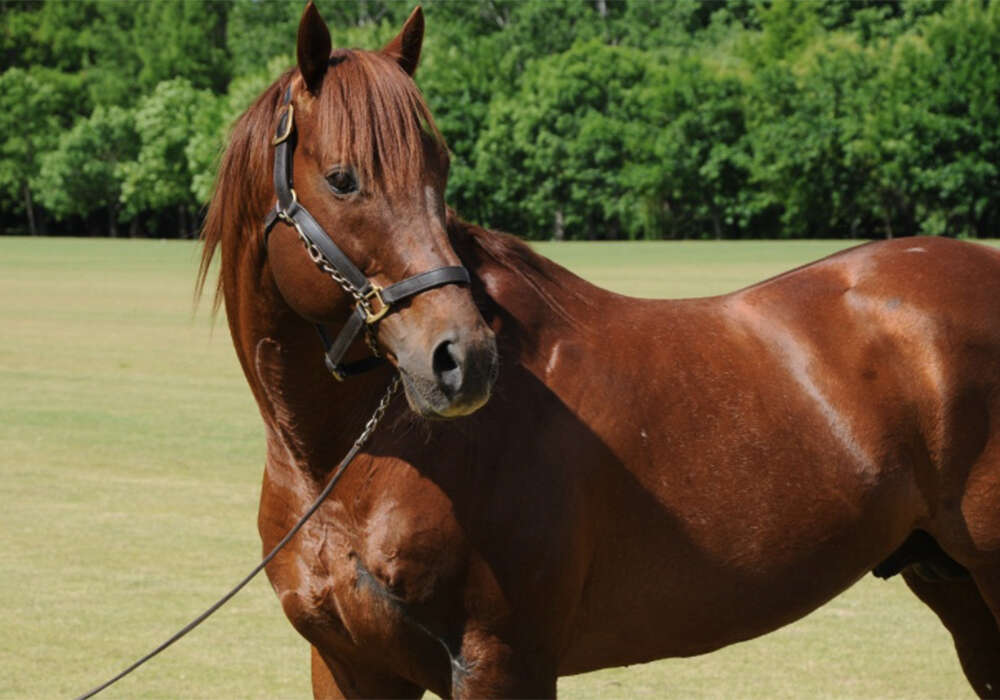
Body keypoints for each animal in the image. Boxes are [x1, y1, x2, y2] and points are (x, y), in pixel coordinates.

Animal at [201, 2, 1000, 696]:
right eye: (343, 178)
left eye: (440, 169)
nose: (463, 358)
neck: (354, 464)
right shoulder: (351, 666)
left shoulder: (501, 661)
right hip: (956, 589)